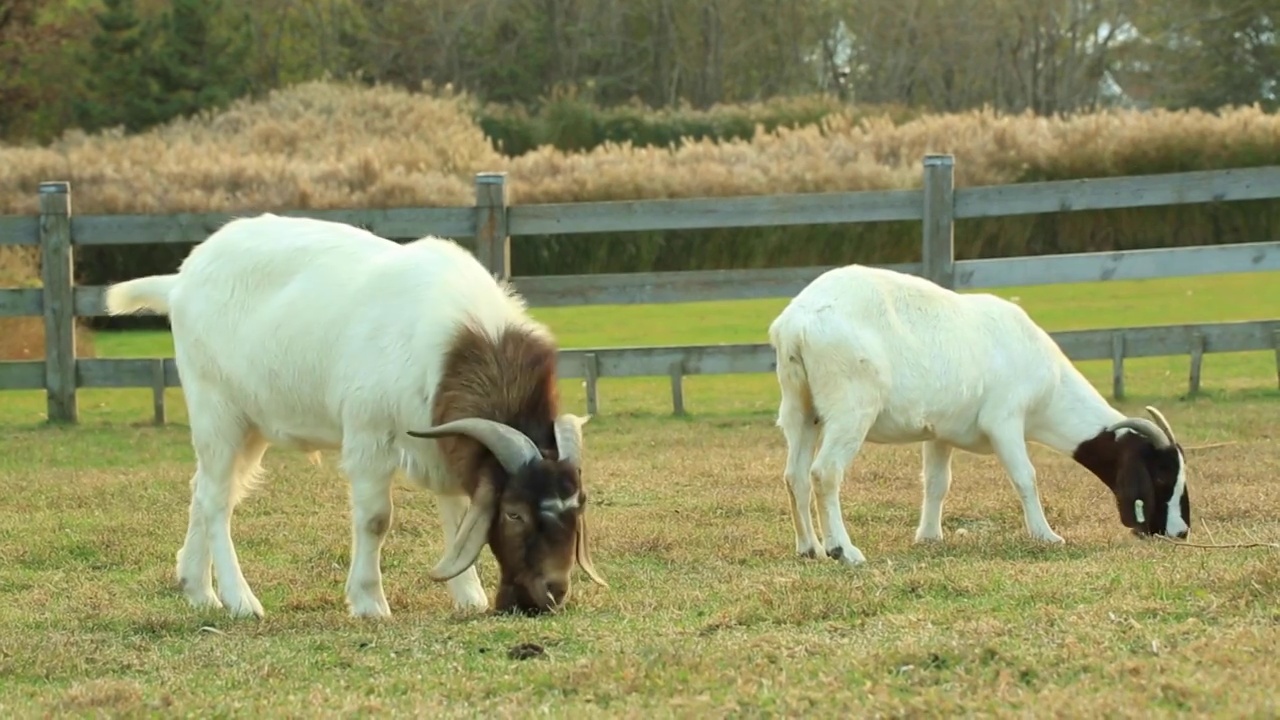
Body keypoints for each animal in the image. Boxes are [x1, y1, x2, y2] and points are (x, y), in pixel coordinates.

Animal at [102, 212, 606, 617]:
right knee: (215, 500)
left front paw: (469, 597)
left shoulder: (443, 440)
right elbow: (376, 519)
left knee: (203, 489)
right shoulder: (368, 433)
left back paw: (198, 591)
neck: (457, 345)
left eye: (579, 504)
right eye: (515, 513)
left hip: (251, 423)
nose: (550, 595)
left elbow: (458, 513)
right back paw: (241, 600)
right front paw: (369, 602)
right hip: (217, 408)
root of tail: (179, 282)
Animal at [757, 260, 1187, 563]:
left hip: (800, 408)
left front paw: (929, 537)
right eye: (1162, 476)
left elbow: (936, 483)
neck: (1049, 385)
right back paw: (843, 551)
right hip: (851, 407)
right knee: (824, 472)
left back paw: (809, 549)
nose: (1181, 533)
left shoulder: (939, 433)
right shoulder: (1005, 421)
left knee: (794, 475)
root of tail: (796, 323)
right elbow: (1025, 477)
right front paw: (1047, 535)